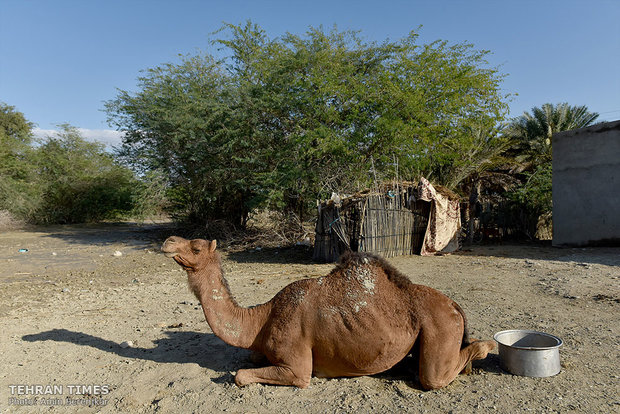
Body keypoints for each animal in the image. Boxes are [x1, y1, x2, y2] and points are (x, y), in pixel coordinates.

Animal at [162, 236, 496, 388]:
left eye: (196, 248)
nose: (168, 242)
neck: (261, 319)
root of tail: (454, 305)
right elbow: (252, 359)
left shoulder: (297, 368)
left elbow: (241, 375)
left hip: (440, 327)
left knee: (435, 376)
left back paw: (486, 347)